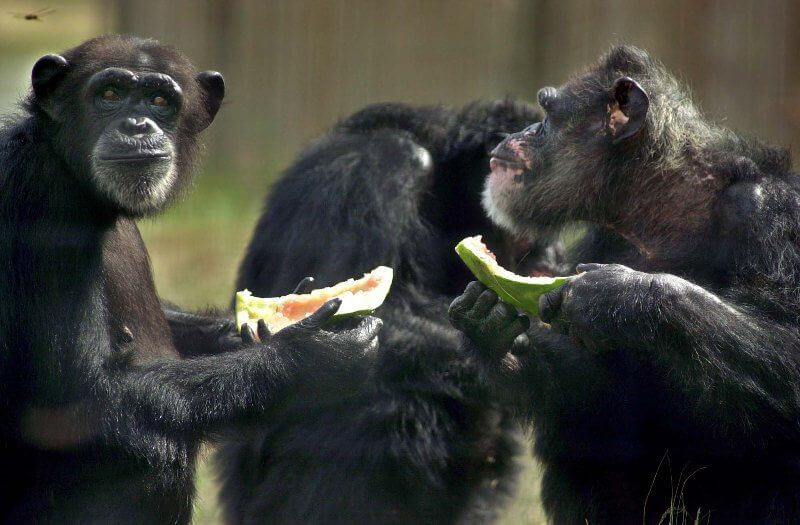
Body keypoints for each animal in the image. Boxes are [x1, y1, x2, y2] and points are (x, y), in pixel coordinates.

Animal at [0, 34, 382, 520]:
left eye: (160, 101)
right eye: (110, 94)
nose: (138, 124)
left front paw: (246, 333)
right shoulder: (45, 202)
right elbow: (77, 398)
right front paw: (310, 358)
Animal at [454, 46, 800, 524]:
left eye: (547, 112)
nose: (516, 132)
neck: (663, 204)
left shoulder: (775, 217)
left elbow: (791, 352)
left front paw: (622, 295)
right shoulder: (603, 237)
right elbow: (595, 389)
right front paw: (492, 334)